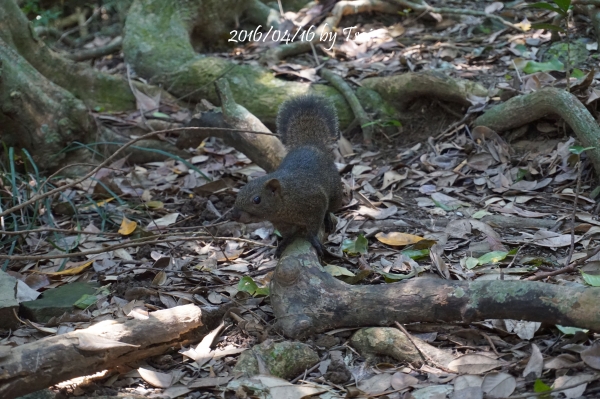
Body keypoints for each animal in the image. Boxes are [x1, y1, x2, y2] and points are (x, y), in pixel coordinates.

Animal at [230, 95, 342, 258]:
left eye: (257, 200)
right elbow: (287, 234)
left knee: (330, 208)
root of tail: (310, 145)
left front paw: (313, 238)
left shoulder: (315, 202)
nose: (235, 215)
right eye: (238, 194)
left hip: (335, 194)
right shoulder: (281, 222)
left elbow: (313, 226)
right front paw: (283, 243)